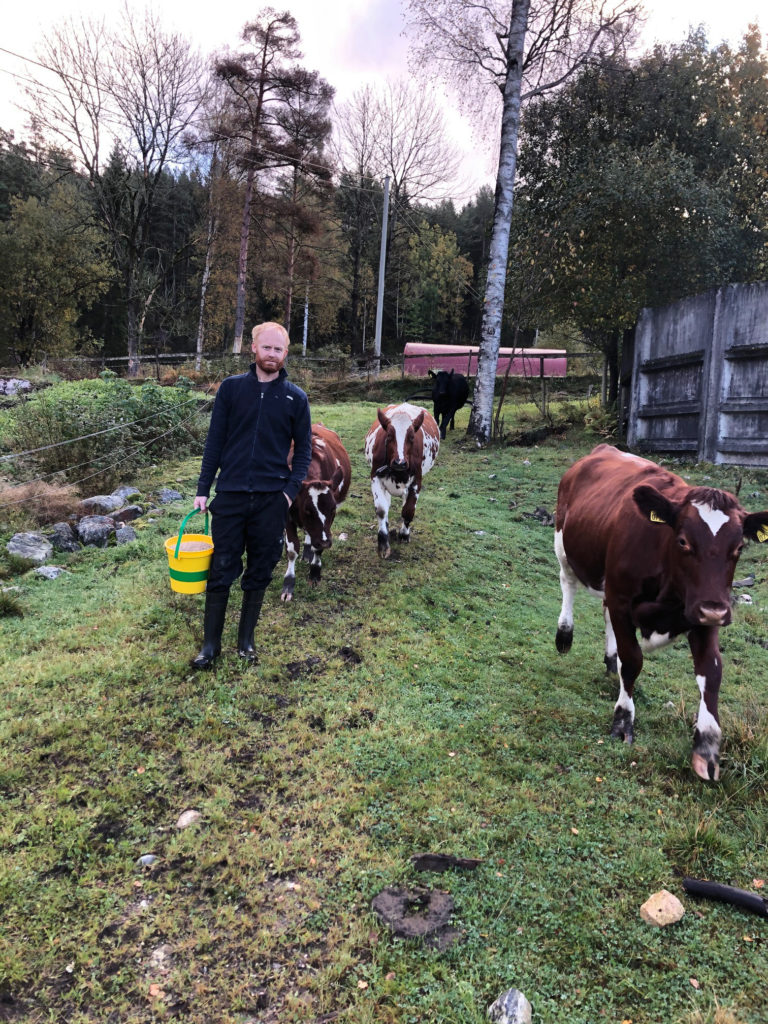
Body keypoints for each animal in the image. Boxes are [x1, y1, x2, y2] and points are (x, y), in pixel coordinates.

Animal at [282, 421, 352, 598]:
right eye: (308, 511)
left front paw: (314, 572)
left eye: (332, 510)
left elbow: (317, 548)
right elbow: (292, 549)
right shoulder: (288, 516)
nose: (326, 542)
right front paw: (288, 583)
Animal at [364, 401, 438, 561]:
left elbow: (408, 511)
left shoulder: (417, 481)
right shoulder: (375, 477)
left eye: (412, 437)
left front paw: (404, 534)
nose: (400, 462)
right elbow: (381, 509)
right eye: (389, 435)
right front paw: (383, 544)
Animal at [557, 444, 765, 778]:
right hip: (563, 541)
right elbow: (632, 661)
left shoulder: (703, 611)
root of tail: (604, 448)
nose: (716, 610)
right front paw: (622, 722)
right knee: (568, 583)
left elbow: (712, 672)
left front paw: (706, 748)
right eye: (683, 541)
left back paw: (610, 660)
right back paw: (564, 635)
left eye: (739, 548)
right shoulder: (621, 597)